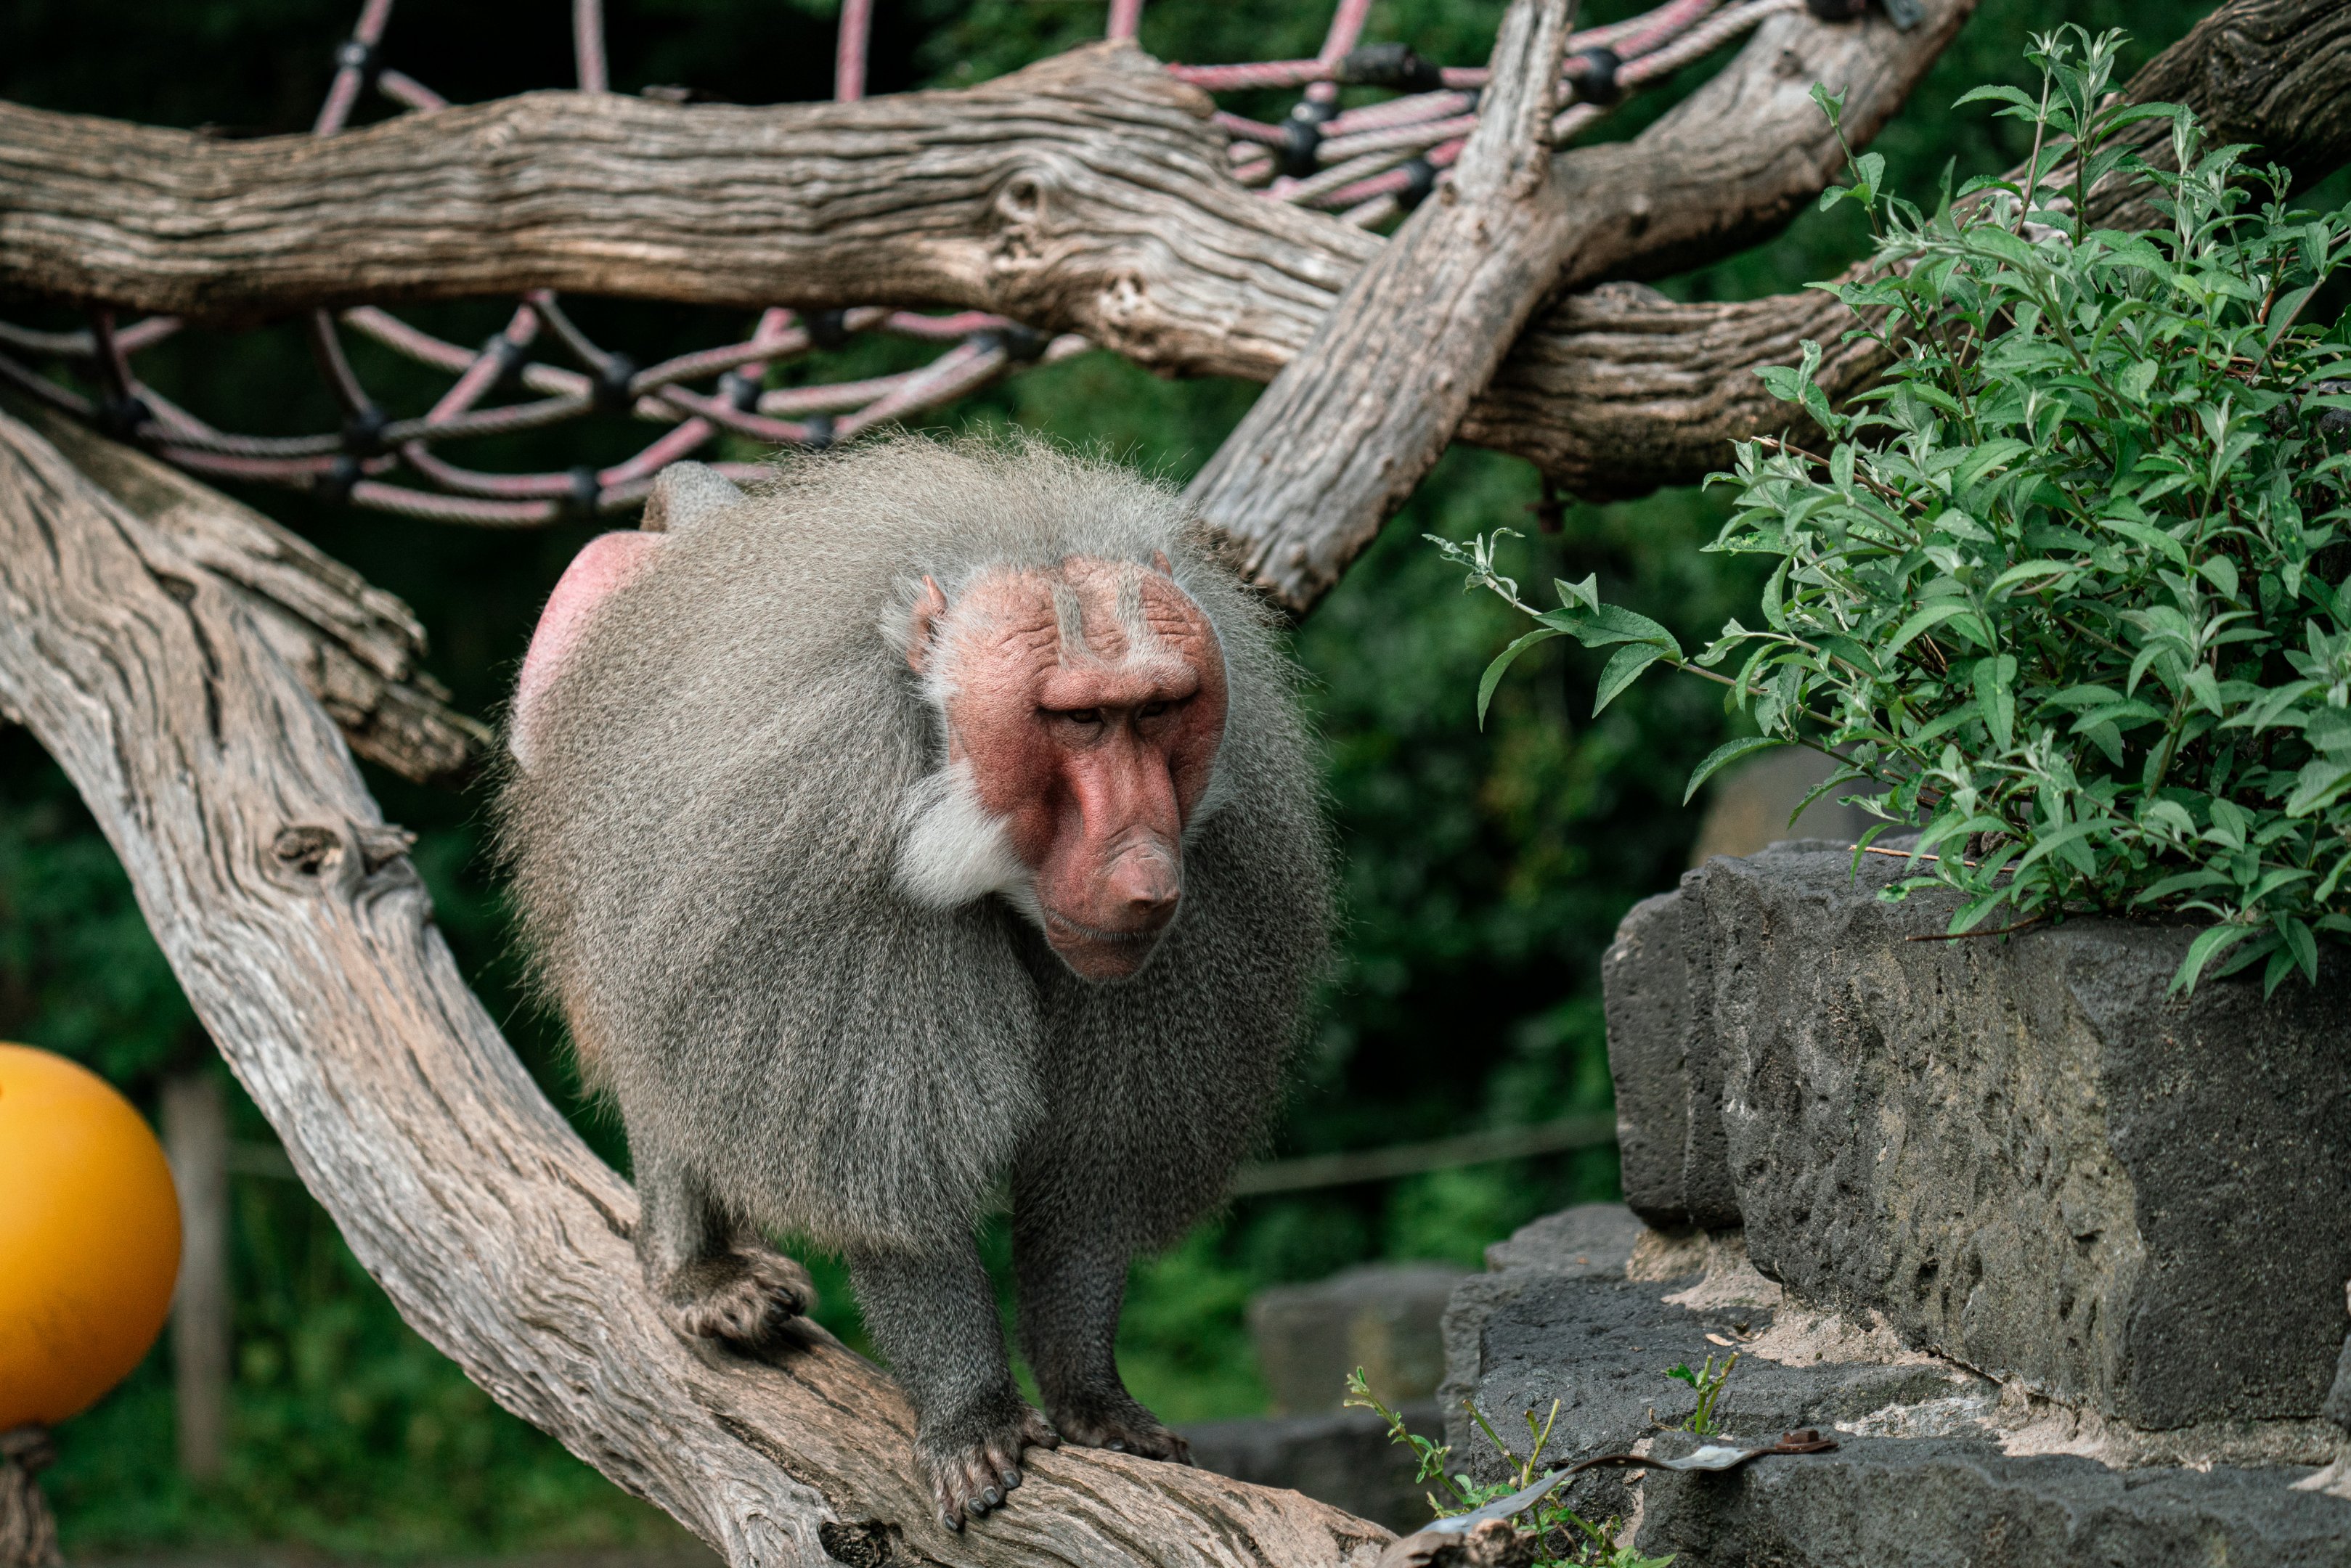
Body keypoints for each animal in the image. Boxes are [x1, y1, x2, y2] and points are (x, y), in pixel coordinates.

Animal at [494, 436, 1329, 1530]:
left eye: (1156, 709)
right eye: (1077, 721)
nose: (1146, 879)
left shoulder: (1216, 869)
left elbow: (1091, 1168)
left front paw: (1091, 1395)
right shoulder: (823, 851)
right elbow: (893, 1176)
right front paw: (970, 1416)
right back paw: (696, 1276)